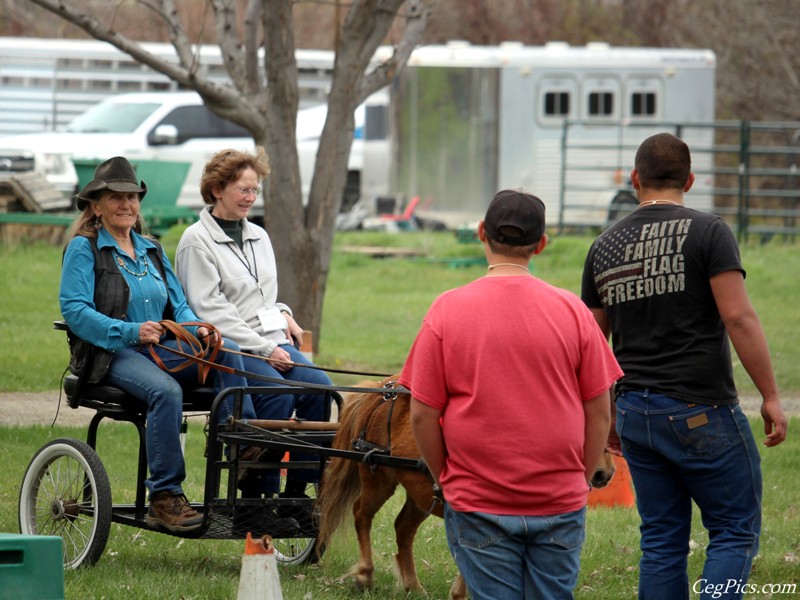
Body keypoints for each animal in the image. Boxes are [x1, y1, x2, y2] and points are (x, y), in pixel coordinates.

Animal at [316, 378, 616, 596]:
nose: (606, 473)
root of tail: (382, 390)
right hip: (377, 477)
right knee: (361, 515)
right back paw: (365, 574)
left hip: (420, 493)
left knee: (403, 529)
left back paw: (413, 585)